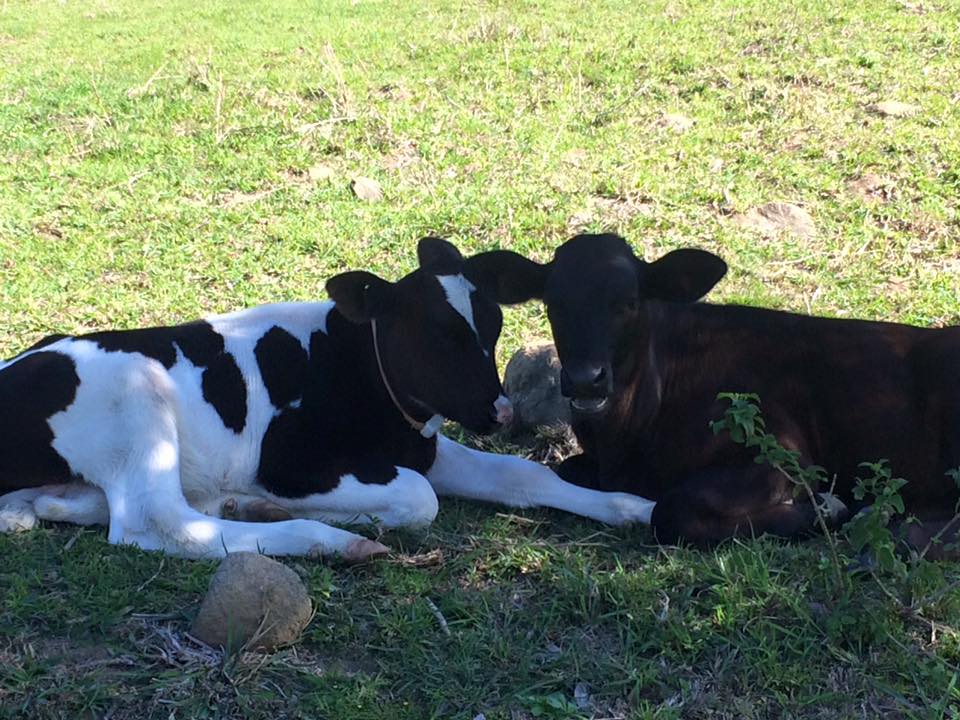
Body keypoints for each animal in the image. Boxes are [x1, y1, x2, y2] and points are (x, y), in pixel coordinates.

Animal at [0, 239, 652, 560]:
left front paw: (638, 508)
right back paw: (327, 539)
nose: (500, 411)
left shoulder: (426, 447)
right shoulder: (289, 463)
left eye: (492, 327)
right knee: (157, 523)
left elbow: (526, 477)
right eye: (432, 336)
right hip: (138, 397)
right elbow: (419, 499)